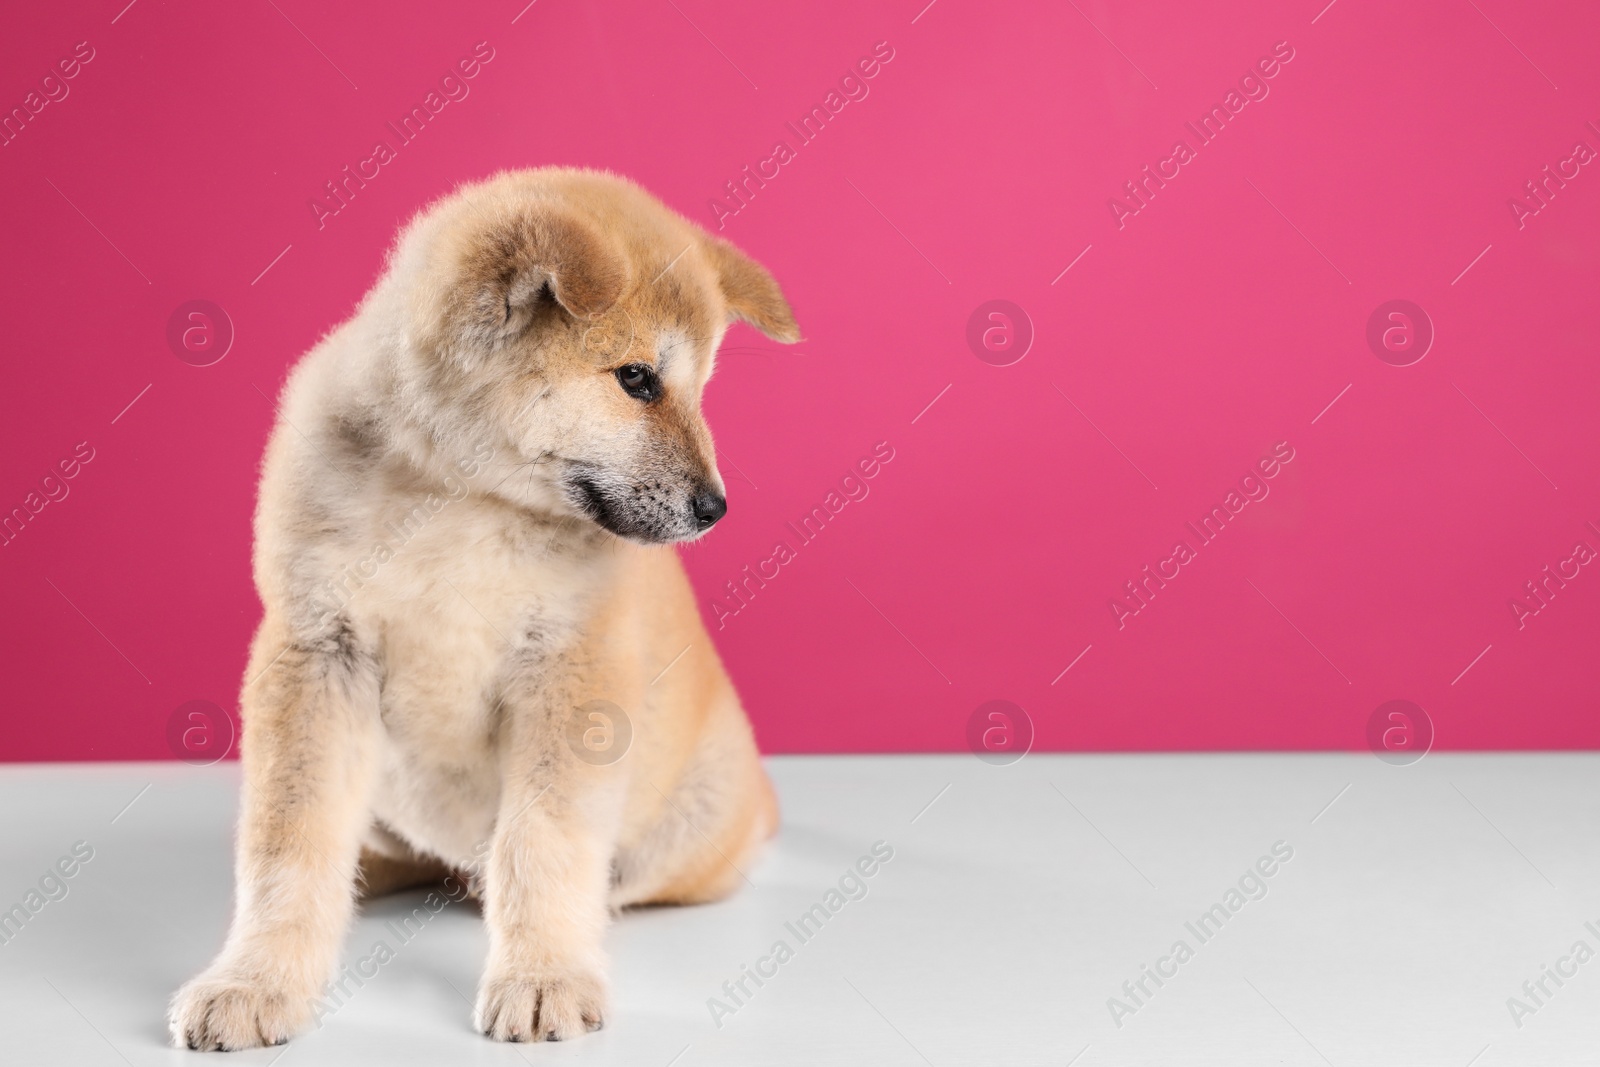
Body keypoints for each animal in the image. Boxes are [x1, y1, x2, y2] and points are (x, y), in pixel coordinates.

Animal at [172, 168, 796, 1049]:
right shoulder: (318, 653)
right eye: (636, 378)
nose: (716, 508)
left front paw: (543, 974)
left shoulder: (568, 671)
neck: (457, 497)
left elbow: (540, 844)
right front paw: (255, 979)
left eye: (700, 385)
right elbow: (288, 845)